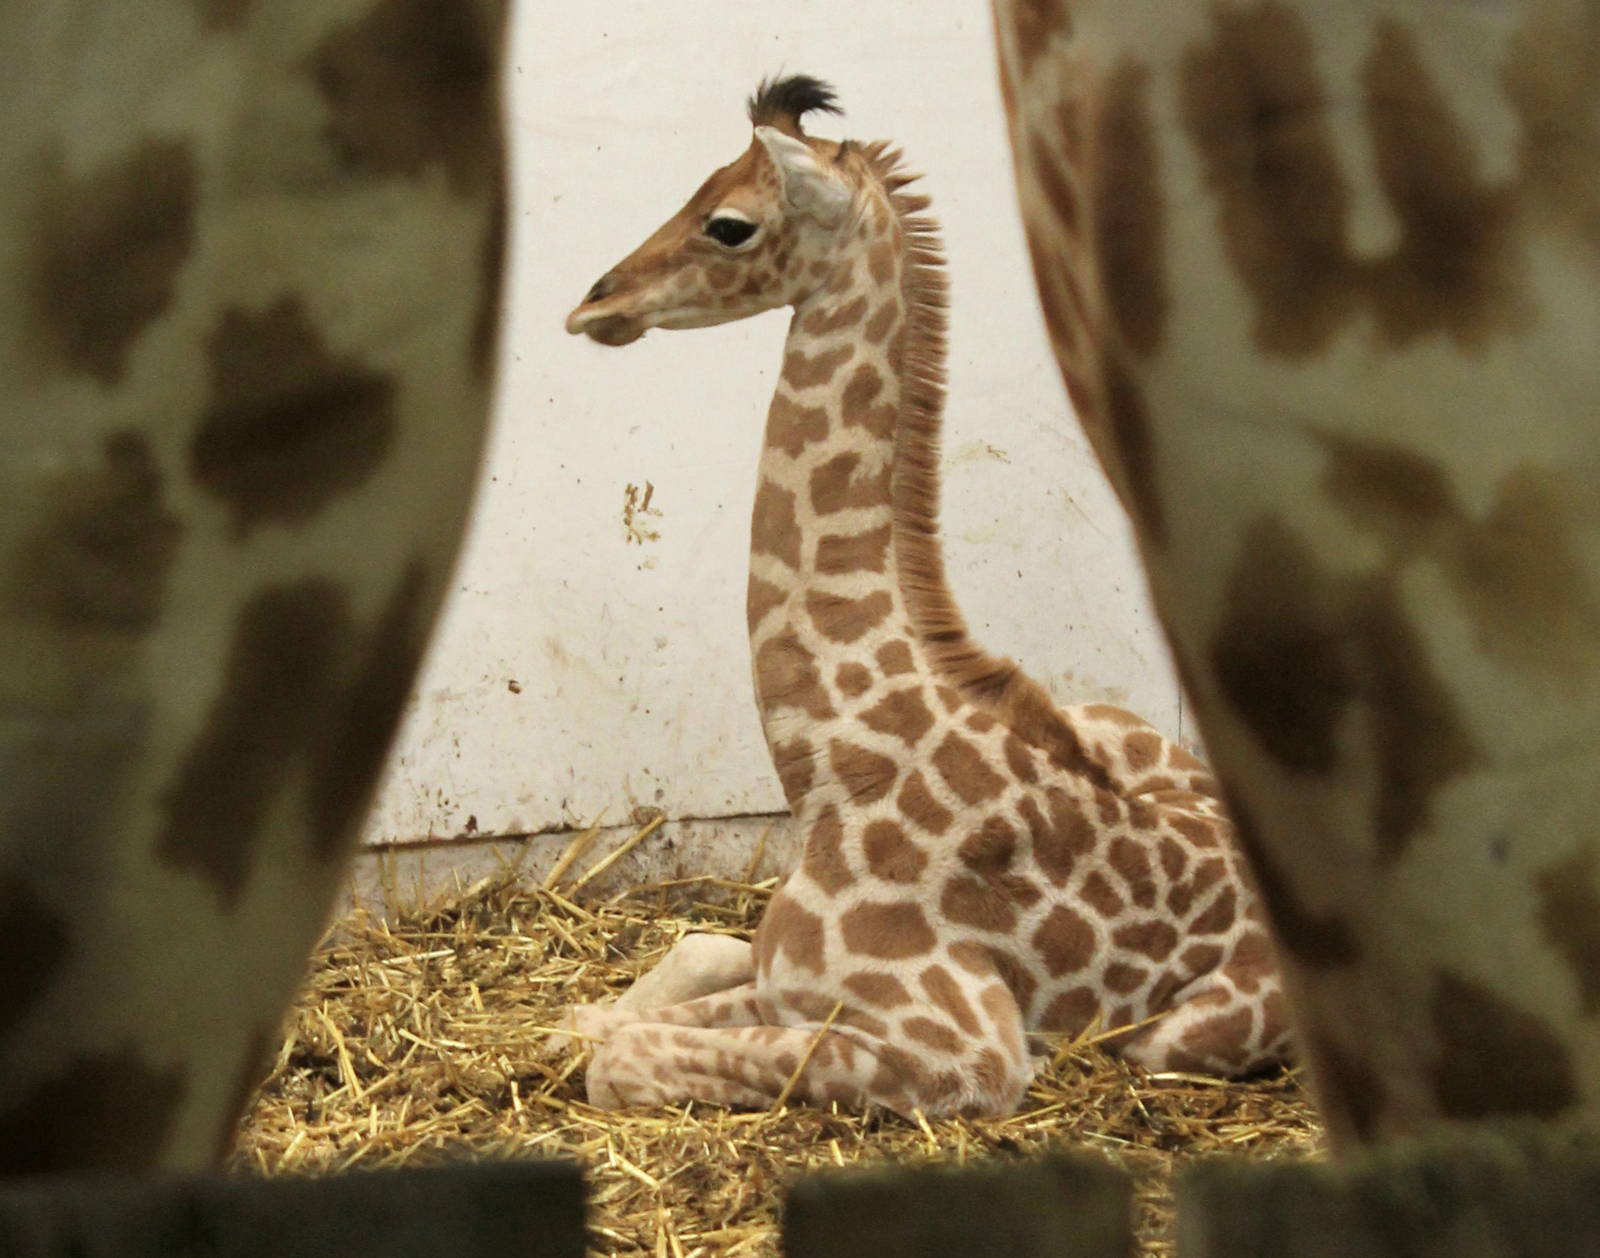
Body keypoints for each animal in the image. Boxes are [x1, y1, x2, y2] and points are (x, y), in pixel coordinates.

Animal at [561, 76, 1289, 1118]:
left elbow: (618, 1059)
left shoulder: (969, 1051)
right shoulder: (781, 975)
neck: (827, 756)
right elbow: (644, 990)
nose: (596, 302)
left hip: (1174, 1039)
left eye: (729, 224)